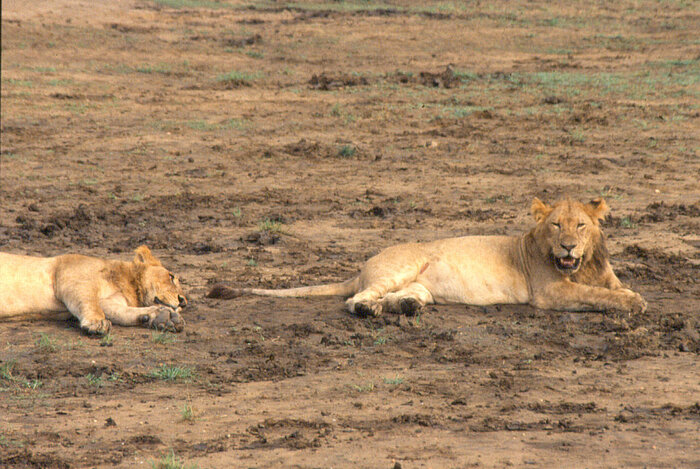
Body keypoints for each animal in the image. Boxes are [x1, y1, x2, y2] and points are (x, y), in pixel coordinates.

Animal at [0, 245, 187, 332]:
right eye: (171, 277)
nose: (183, 302)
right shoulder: (70, 275)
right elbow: (88, 301)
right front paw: (97, 323)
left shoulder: (109, 301)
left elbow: (122, 313)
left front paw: (165, 318)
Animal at [211, 197, 648, 314]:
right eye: (556, 225)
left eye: (581, 226)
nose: (568, 246)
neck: (583, 265)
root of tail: (362, 266)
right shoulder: (549, 292)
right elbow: (596, 295)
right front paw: (633, 303)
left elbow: (612, 288)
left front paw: (631, 296)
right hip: (404, 264)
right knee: (356, 299)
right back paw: (370, 310)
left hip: (421, 285)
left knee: (398, 296)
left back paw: (405, 307)